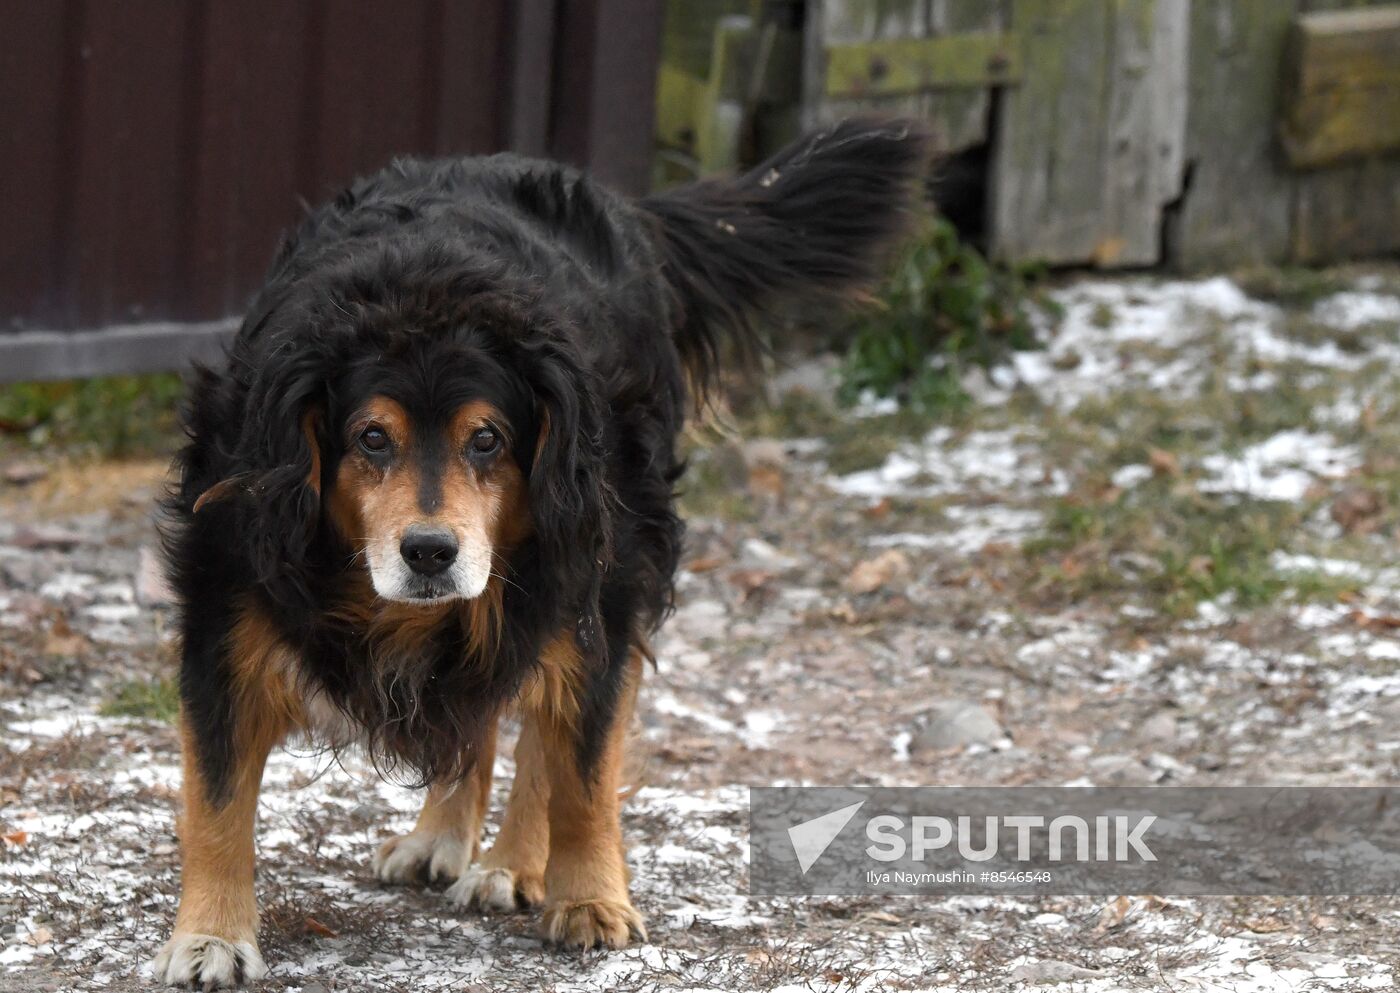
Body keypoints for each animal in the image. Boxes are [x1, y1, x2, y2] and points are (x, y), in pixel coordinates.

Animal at [153, 116, 924, 985]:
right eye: (371, 438)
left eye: (487, 438)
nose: (429, 552)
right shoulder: (226, 599)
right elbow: (216, 797)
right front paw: (211, 934)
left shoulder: (594, 582)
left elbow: (581, 768)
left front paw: (587, 896)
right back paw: (442, 833)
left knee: (554, 724)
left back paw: (514, 862)